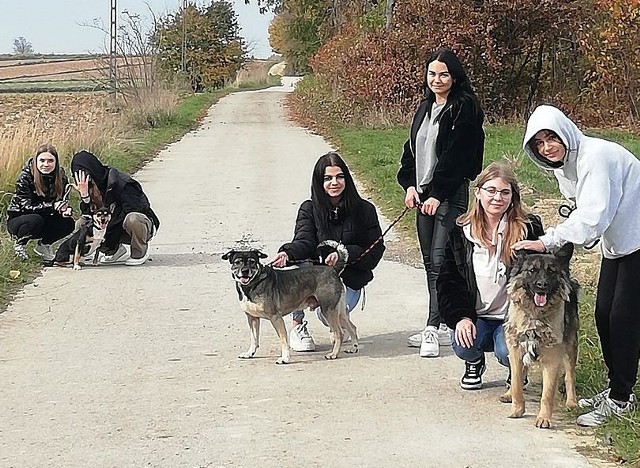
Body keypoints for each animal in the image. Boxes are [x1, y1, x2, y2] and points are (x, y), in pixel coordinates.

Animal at [222, 241, 358, 366]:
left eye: (252, 261)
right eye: (237, 262)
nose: (245, 271)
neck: (254, 283)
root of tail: (333, 269)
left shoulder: (276, 318)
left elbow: (283, 341)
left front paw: (285, 358)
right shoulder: (252, 318)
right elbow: (254, 339)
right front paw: (249, 353)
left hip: (328, 310)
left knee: (339, 333)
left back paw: (333, 354)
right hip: (339, 312)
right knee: (352, 327)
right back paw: (353, 347)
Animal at [502, 243, 584, 430]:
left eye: (551, 271)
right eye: (532, 270)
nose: (542, 285)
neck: (535, 315)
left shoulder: (552, 358)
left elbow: (547, 394)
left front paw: (544, 418)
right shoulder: (516, 351)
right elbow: (516, 383)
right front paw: (517, 409)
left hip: (570, 346)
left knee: (569, 375)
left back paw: (571, 402)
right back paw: (508, 394)